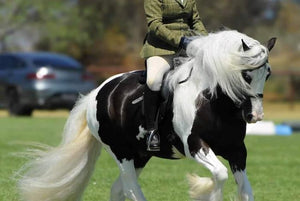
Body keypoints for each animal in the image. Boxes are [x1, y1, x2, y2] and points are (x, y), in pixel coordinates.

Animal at [17, 30, 276, 201]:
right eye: (246, 75)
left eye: (268, 74)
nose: (255, 115)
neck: (212, 102)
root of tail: (97, 93)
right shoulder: (195, 146)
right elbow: (219, 175)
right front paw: (203, 189)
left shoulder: (237, 151)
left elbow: (245, 190)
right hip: (121, 154)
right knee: (130, 189)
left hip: (140, 155)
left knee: (119, 189)